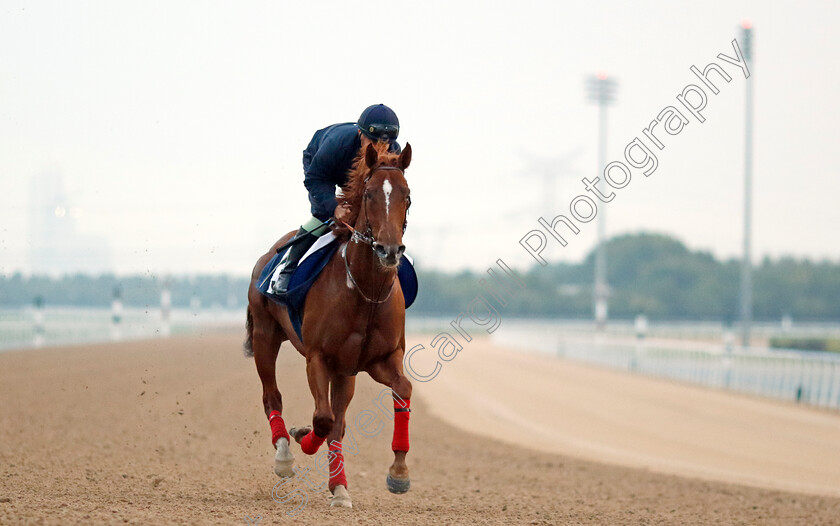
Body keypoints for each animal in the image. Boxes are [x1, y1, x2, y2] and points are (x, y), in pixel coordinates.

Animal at [243, 141, 414, 512]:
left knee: (339, 423)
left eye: (407, 195)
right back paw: (285, 453)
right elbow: (322, 418)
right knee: (272, 396)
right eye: (369, 193)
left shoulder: (379, 359)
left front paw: (398, 472)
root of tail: (266, 256)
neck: (366, 290)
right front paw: (301, 438)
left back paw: (339, 487)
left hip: (344, 371)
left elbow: (403, 390)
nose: (389, 250)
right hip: (265, 336)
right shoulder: (317, 357)